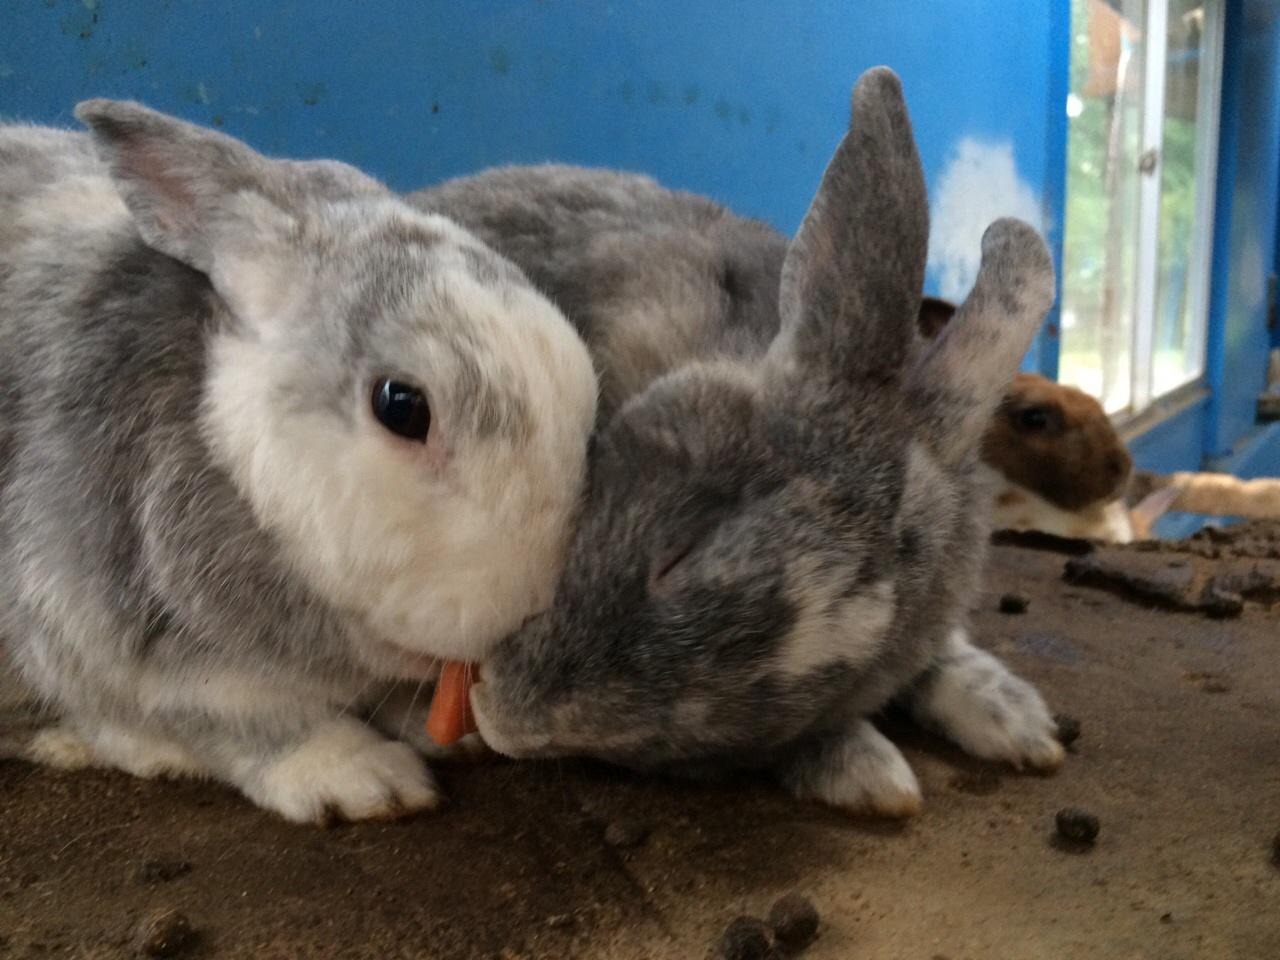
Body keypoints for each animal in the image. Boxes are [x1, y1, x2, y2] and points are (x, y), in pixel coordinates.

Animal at [0, 106, 596, 829]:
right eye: (402, 406)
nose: (534, 599)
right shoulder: (145, 659)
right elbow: (259, 727)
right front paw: (368, 781)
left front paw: (455, 735)